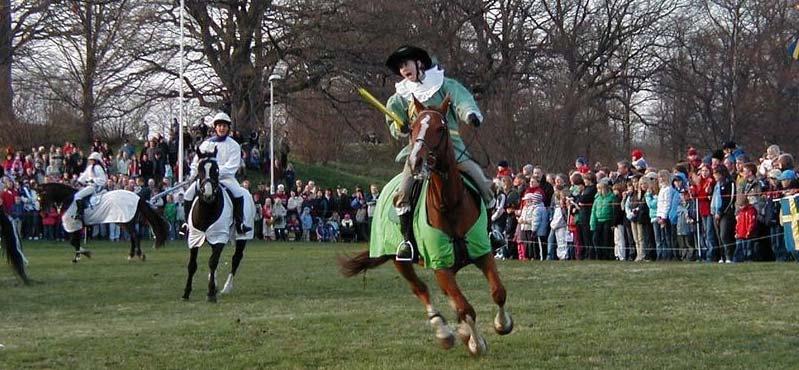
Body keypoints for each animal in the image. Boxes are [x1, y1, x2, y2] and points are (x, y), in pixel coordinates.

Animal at [38, 183, 169, 264]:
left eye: (41, 196)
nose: (43, 213)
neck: (68, 200)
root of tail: (137, 196)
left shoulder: (74, 226)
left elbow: (73, 242)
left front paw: (82, 254)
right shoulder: (76, 227)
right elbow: (75, 243)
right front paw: (80, 256)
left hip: (127, 221)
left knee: (135, 236)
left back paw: (140, 255)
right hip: (124, 222)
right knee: (133, 237)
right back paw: (131, 255)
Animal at [183, 149, 255, 302]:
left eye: (216, 170)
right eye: (200, 169)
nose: (208, 194)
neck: (207, 210)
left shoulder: (219, 237)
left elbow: (212, 262)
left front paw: (210, 293)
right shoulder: (194, 238)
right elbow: (192, 265)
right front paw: (186, 292)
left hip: (241, 238)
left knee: (235, 259)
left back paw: (226, 287)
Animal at [338, 97, 512, 356]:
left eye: (440, 128)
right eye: (413, 128)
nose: (415, 161)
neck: (449, 204)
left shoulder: (482, 253)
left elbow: (498, 292)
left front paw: (501, 324)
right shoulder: (440, 264)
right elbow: (466, 308)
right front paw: (476, 343)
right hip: (400, 261)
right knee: (421, 289)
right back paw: (444, 332)